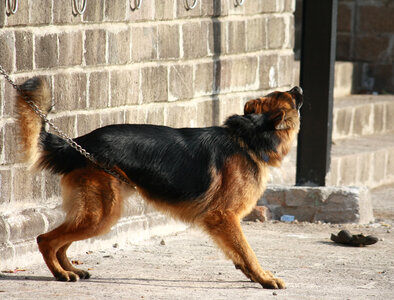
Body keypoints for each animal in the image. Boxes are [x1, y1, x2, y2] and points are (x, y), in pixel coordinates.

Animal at [15, 77, 304, 288]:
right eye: (288, 97)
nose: (299, 87)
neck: (250, 136)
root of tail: (78, 143)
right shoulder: (223, 217)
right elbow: (247, 251)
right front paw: (264, 277)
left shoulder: (225, 221)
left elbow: (240, 253)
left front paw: (254, 275)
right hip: (102, 215)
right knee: (45, 239)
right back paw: (60, 273)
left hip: (94, 213)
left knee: (61, 241)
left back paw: (69, 268)